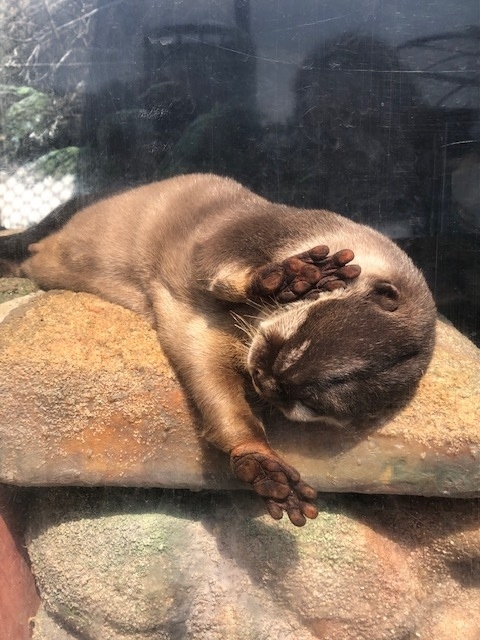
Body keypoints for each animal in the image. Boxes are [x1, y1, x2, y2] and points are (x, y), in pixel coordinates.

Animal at [0, 174, 436, 524]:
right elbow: (213, 265)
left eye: (307, 403)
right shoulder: (239, 230)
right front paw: (288, 280)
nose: (267, 378)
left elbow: (221, 401)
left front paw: (264, 466)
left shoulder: (206, 341)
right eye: (296, 342)